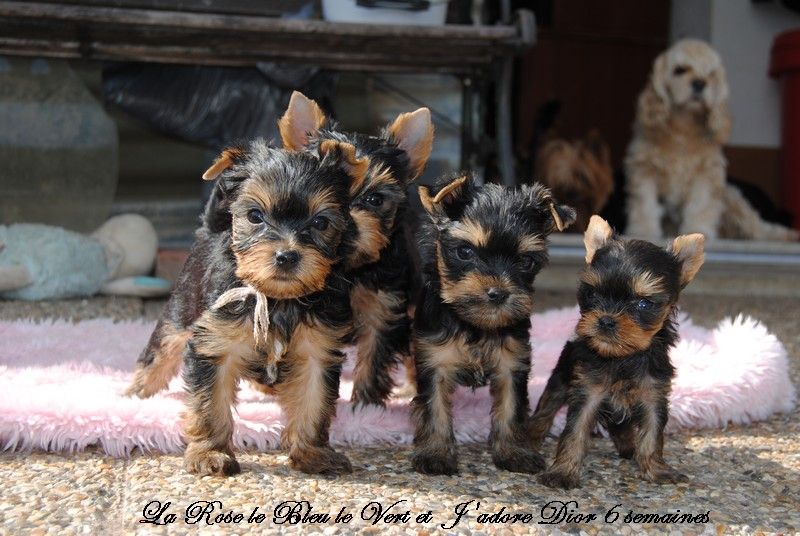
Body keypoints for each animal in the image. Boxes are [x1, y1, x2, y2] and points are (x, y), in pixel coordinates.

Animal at [175, 140, 366, 476]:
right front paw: (210, 452)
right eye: (255, 216)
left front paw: (313, 453)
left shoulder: (319, 350)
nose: (286, 256)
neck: (279, 299)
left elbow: (314, 400)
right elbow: (209, 403)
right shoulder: (214, 343)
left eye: (320, 222)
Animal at [278, 91, 434, 406]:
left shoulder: (383, 304)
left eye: (375, 199)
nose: (345, 223)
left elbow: (374, 353)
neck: (346, 269)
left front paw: (364, 404)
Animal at [412, 175, 576, 474]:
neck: (475, 325)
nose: (497, 293)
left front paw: (513, 452)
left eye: (525, 261)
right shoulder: (434, 359)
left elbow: (510, 408)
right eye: (465, 251)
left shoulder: (512, 363)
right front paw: (435, 454)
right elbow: (434, 407)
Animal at [532, 216, 708, 488]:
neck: (623, 357)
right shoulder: (588, 392)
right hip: (561, 377)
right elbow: (574, 431)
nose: (606, 320)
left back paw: (628, 448)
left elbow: (652, 435)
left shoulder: (653, 395)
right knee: (546, 409)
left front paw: (656, 470)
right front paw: (561, 472)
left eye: (644, 303)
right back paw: (530, 437)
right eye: (591, 293)